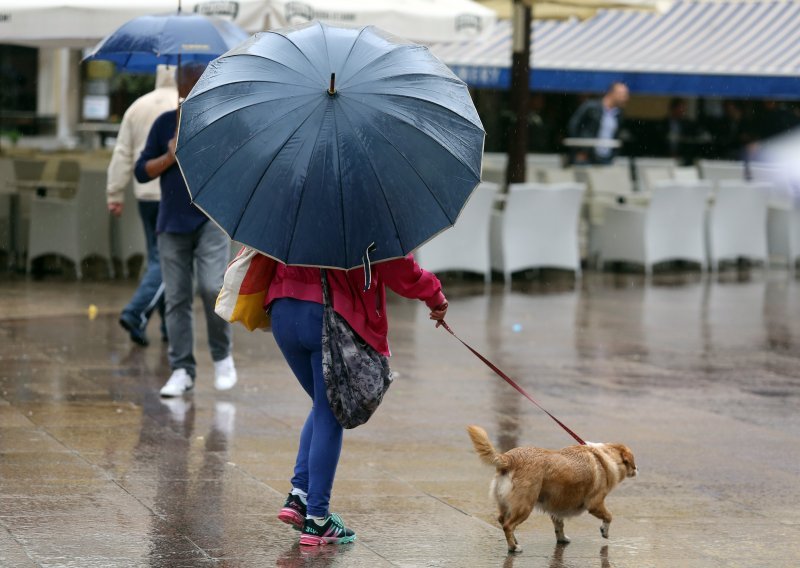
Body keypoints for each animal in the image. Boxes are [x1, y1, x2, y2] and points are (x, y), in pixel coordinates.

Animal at [466, 424, 636, 552]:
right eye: (632, 463)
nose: (637, 469)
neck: (604, 456)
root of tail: (508, 458)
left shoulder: (557, 507)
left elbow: (559, 525)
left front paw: (562, 539)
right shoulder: (595, 504)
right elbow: (609, 516)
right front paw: (604, 531)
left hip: (506, 504)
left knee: (502, 521)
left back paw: (515, 541)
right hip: (525, 506)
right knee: (508, 525)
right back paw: (514, 547)